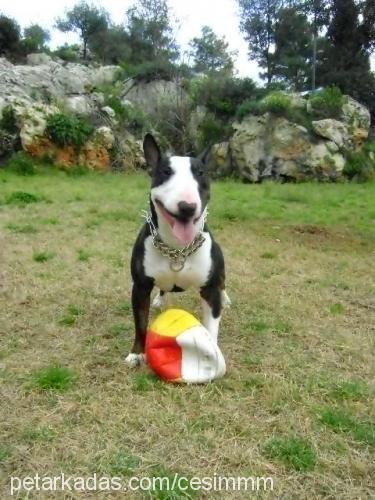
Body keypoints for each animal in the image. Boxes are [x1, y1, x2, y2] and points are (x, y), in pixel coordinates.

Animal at [125, 133, 229, 368]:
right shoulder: (140, 288)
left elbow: (211, 327)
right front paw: (137, 353)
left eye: (201, 173)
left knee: (223, 281)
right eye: (165, 172)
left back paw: (226, 296)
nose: (187, 207)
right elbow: (140, 323)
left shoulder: (210, 291)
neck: (177, 248)